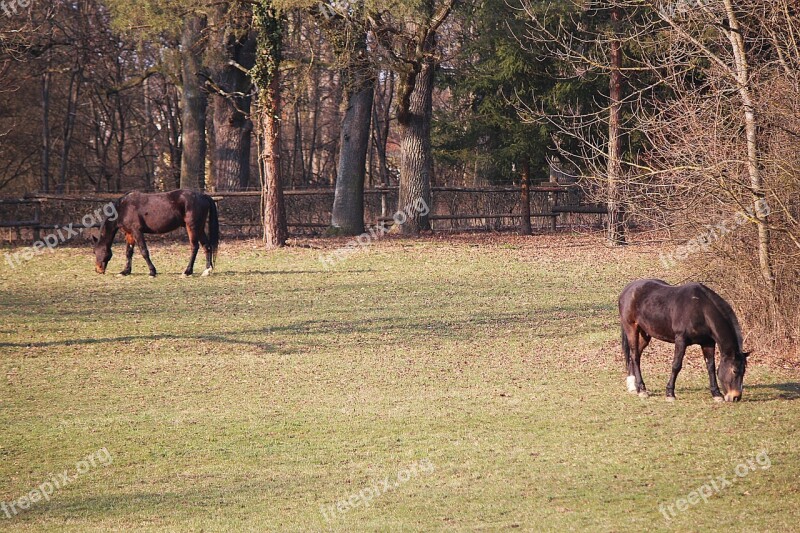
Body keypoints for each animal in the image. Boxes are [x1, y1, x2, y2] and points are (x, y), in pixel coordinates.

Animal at [620, 280, 752, 402]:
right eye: (734, 371)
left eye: (744, 371)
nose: (736, 397)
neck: (701, 309)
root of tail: (627, 289)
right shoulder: (681, 340)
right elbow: (676, 365)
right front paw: (670, 393)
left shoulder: (708, 343)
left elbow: (711, 367)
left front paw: (716, 394)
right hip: (631, 329)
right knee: (635, 356)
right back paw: (642, 389)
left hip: (645, 334)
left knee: (635, 356)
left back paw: (633, 387)